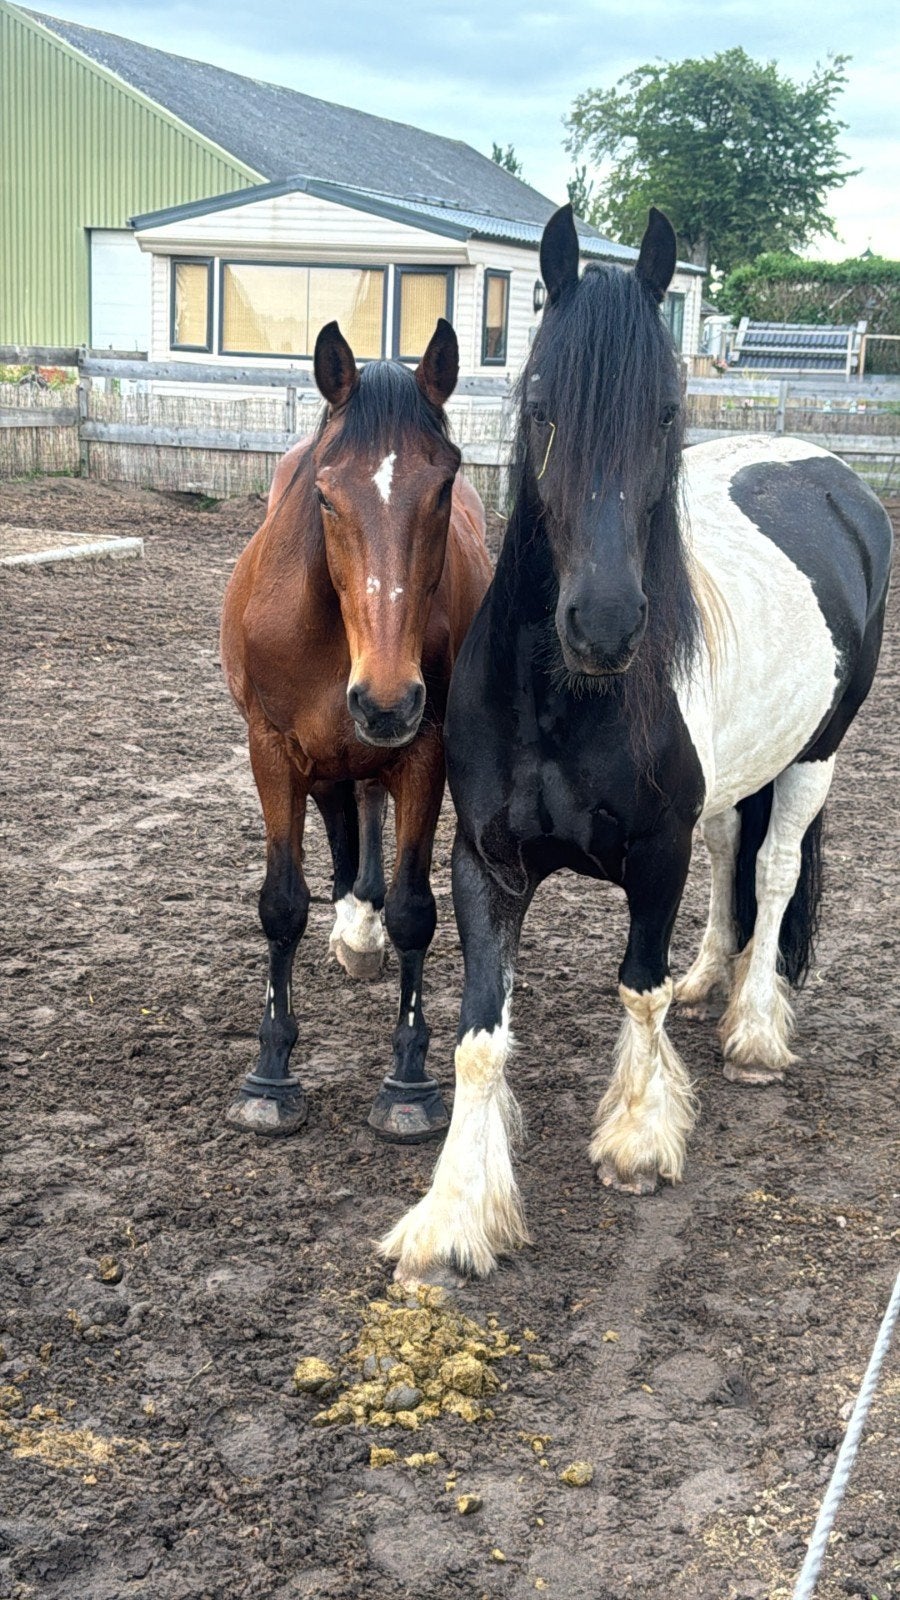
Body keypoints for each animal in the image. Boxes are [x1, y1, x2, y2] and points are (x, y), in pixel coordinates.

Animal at [220, 318, 492, 1140]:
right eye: (326, 495)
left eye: (443, 487)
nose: (385, 700)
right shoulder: (274, 750)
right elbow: (282, 903)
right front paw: (270, 1074)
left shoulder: (424, 751)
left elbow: (413, 911)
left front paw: (408, 1081)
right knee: (344, 820)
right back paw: (351, 925)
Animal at [380, 204, 893, 1282]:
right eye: (541, 402)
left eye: (664, 410)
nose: (605, 624)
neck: (565, 703)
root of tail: (834, 479)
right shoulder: (485, 863)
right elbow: (479, 1037)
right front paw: (454, 1215)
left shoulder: (654, 856)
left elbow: (638, 989)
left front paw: (639, 1139)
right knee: (734, 852)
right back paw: (713, 980)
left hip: (814, 758)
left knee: (776, 871)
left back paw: (752, 1030)